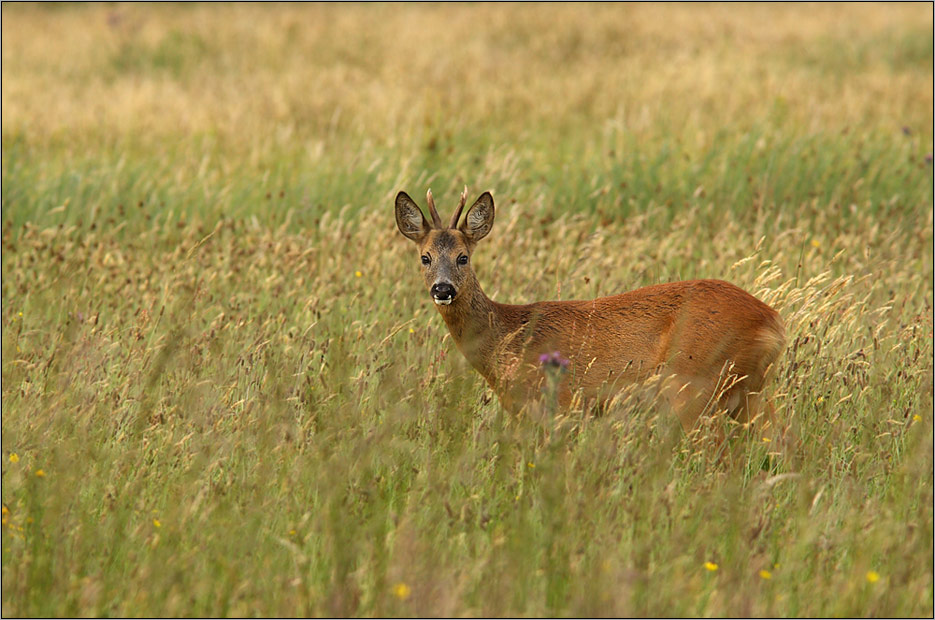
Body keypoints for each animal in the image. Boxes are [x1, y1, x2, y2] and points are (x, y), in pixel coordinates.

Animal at [392, 186, 788, 434]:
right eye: (425, 257)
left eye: (463, 257)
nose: (443, 289)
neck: (507, 338)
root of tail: (773, 321)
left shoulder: (552, 406)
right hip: (748, 391)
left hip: (697, 384)